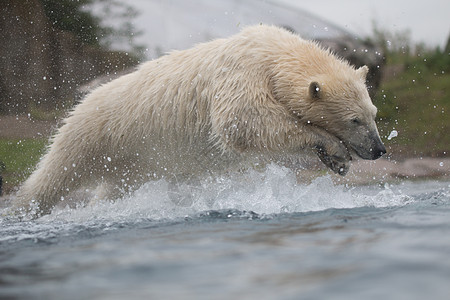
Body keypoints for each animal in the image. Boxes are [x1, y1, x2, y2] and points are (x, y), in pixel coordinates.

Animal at [13, 24, 384, 216]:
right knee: (57, 172)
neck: (274, 52)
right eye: (354, 120)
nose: (378, 149)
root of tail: (85, 98)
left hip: (131, 161)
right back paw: (24, 207)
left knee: (110, 188)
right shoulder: (242, 73)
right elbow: (242, 122)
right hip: (95, 131)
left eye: (373, 114)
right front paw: (333, 147)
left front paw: (337, 161)